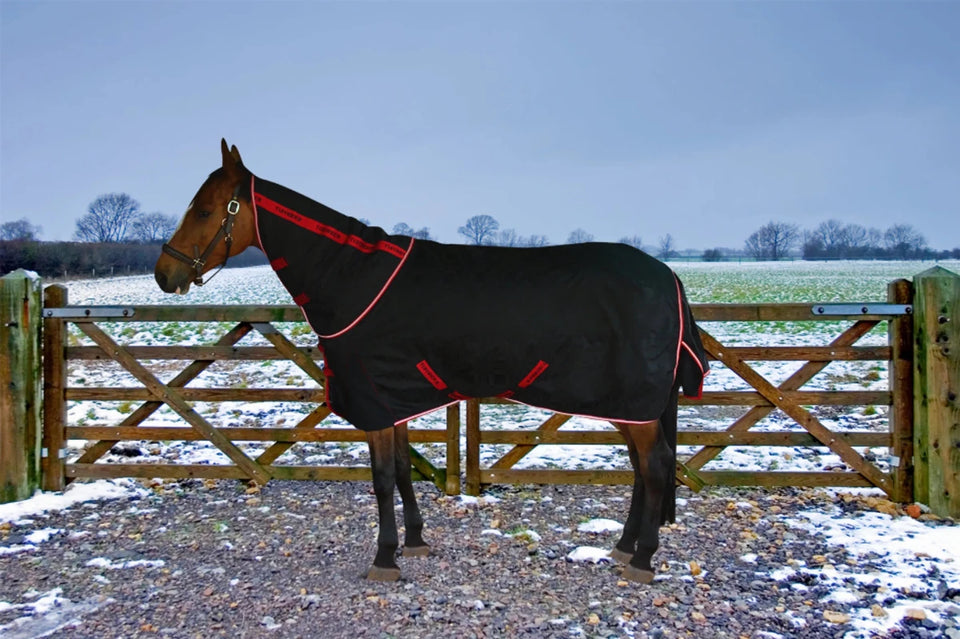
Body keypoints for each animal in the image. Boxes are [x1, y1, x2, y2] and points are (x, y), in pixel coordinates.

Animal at [154, 139, 708, 583]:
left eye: (203, 211)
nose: (164, 273)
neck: (352, 277)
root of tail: (668, 277)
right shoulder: (392, 397)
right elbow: (402, 470)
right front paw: (415, 541)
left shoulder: (374, 401)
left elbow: (381, 479)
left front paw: (384, 558)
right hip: (628, 406)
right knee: (641, 468)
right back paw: (623, 548)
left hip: (633, 401)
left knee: (656, 466)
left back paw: (642, 560)